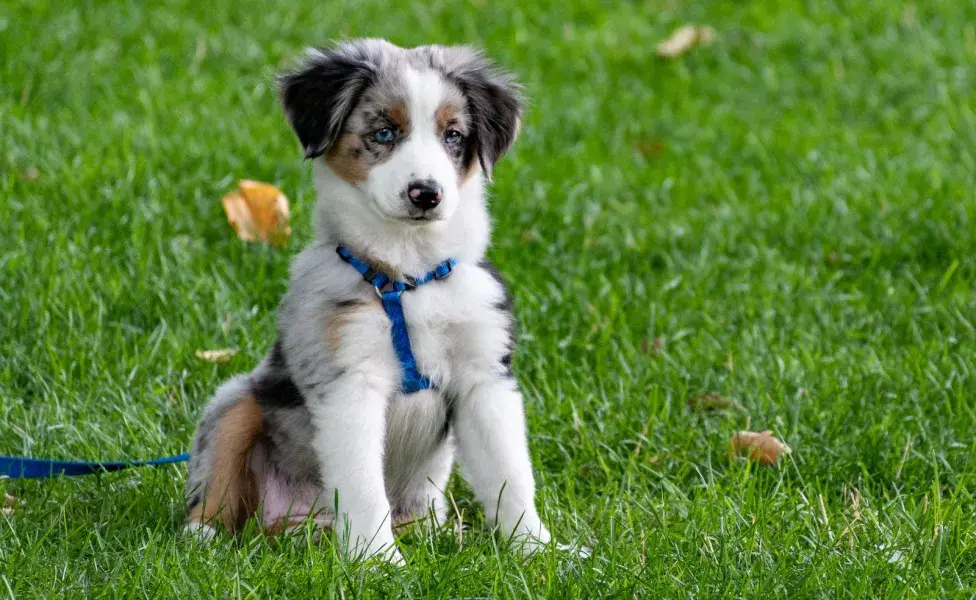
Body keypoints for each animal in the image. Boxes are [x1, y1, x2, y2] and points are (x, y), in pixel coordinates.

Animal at [184, 39, 568, 560]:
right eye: (384, 132)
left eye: (453, 136)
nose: (426, 193)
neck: (410, 275)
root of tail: (300, 524)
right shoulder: (349, 382)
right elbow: (364, 486)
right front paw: (378, 562)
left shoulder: (484, 378)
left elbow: (510, 475)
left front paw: (539, 551)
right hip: (237, 399)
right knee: (217, 477)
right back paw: (203, 536)